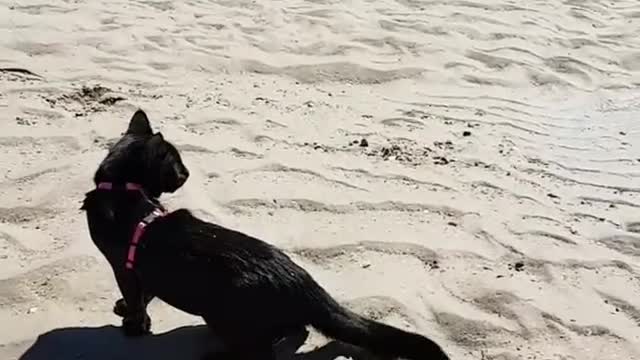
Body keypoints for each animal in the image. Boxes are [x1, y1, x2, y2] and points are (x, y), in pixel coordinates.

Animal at [81, 109, 450, 360]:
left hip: (223, 312)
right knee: (293, 330)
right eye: (177, 164)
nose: (187, 173)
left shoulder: (122, 266)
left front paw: (133, 326)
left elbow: (136, 299)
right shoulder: (136, 270)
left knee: (265, 350)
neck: (122, 188)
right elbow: (143, 294)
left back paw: (217, 356)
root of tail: (305, 283)